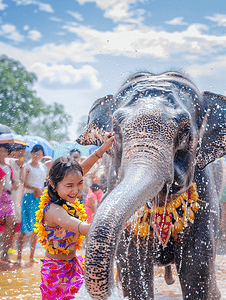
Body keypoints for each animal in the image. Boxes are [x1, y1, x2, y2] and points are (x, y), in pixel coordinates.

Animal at [76, 71, 226, 300]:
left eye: (184, 131)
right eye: (115, 129)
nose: (111, 288)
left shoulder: (204, 191)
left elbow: (195, 267)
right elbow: (132, 268)